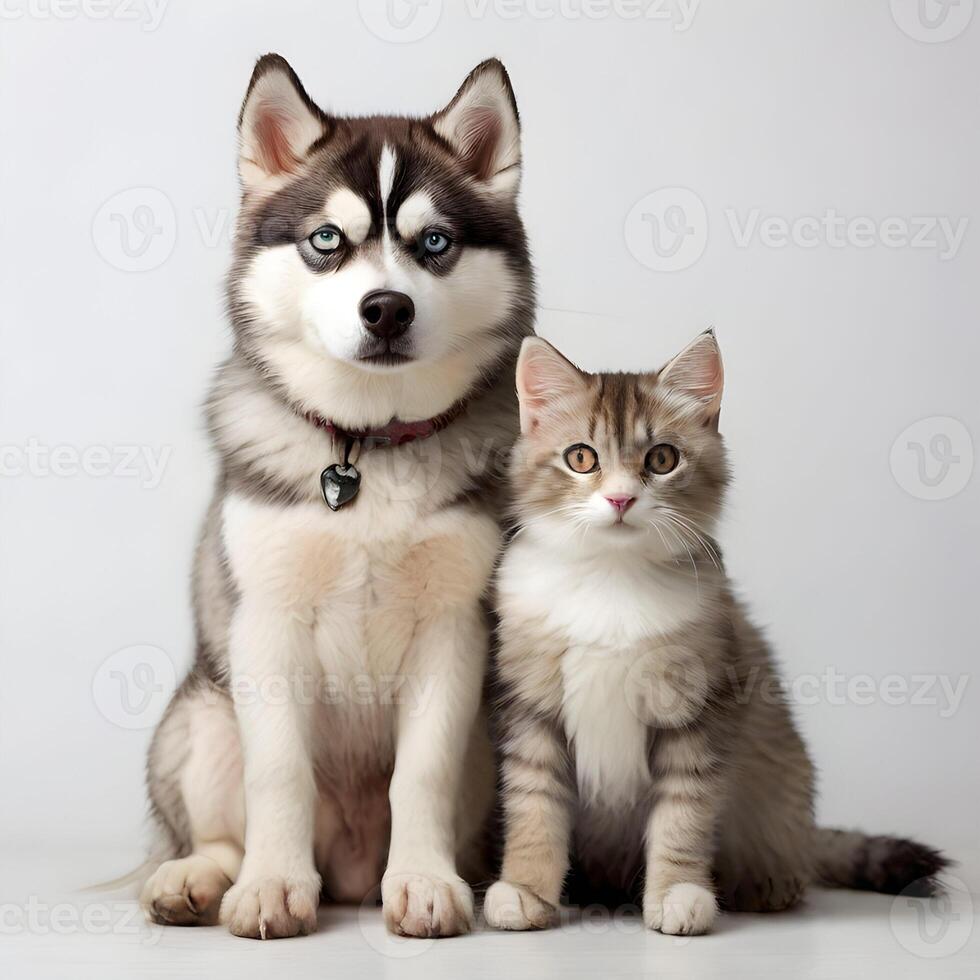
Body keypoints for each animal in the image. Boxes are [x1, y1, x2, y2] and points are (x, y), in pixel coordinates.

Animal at [140, 55, 528, 940]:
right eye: (327, 240)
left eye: (434, 243)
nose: (386, 308)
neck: (367, 448)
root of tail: (349, 868)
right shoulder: (266, 625)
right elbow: (279, 773)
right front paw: (272, 887)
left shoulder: (452, 630)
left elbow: (420, 774)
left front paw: (423, 883)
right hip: (200, 716)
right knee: (218, 827)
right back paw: (198, 878)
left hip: (488, 741)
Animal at [486, 334, 944, 936]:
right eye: (581, 457)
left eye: (661, 459)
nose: (620, 499)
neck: (612, 577)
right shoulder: (532, 709)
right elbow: (534, 807)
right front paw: (525, 889)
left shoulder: (700, 707)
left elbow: (683, 816)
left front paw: (678, 894)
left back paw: (765, 884)